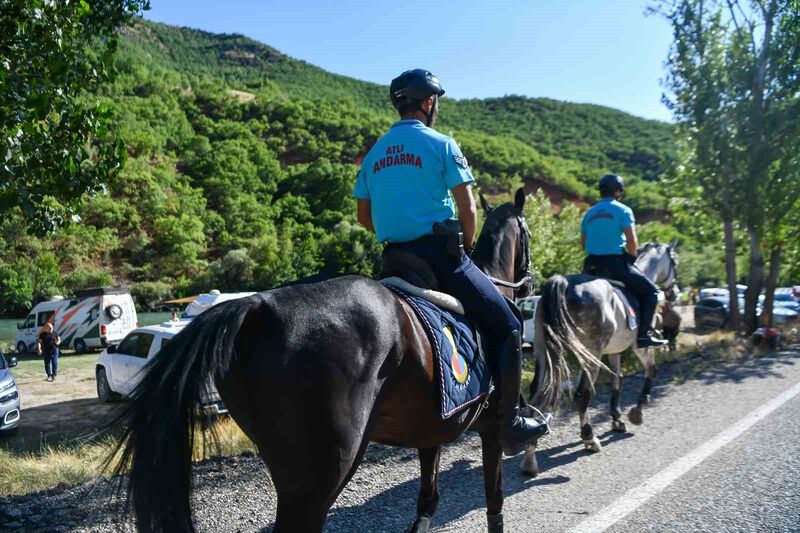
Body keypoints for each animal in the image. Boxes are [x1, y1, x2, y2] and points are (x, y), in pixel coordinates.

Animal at [111, 189, 592, 528]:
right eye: (528, 234)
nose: (529, 284)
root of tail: (255, 307)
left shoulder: (432, 431)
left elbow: (427, 504)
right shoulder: (491, 429)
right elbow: (494, 504)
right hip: (322, 475)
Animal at [520, 241, 680, 474]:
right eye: (674, 262)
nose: (674, 293)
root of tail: (564, 283)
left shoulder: (613, 351)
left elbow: (616, 379)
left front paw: (617, 418)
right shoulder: (640, 346)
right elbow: (651, 370)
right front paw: (637, 412)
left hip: (544, 350)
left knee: (537, 393)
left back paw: (530, 457)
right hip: (590, 353)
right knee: (581, 395)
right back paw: (589, 438)